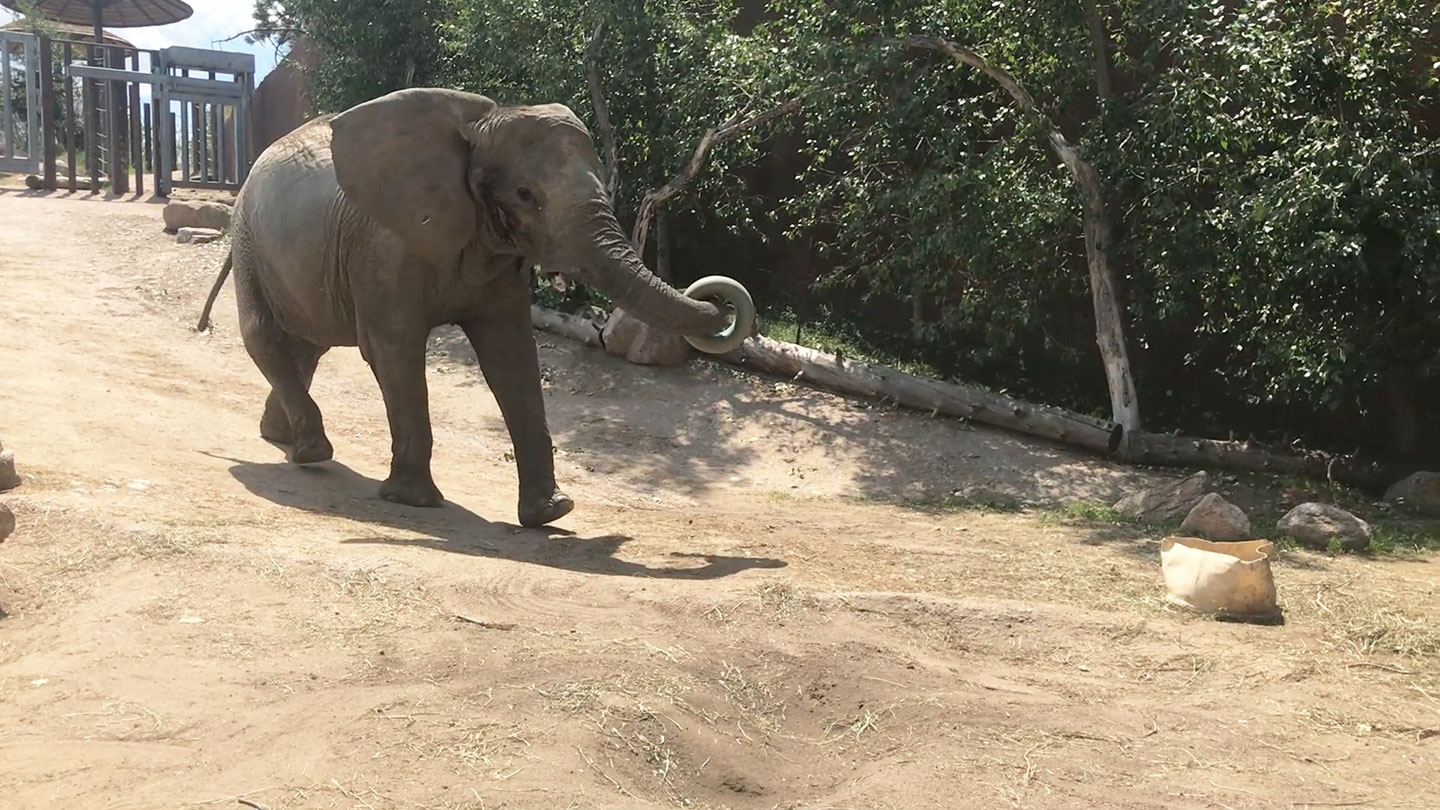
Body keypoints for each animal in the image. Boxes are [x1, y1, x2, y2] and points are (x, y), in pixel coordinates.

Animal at [198, 88, 760, 527]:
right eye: (525, 194)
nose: (717, 297)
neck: (480, 125)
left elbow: (511, 354)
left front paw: (551, 512)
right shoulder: (386, 245)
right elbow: (393, 348)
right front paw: (413, 502)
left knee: (307, 345)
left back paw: (280, 437)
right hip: (249, 239)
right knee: (265, 335)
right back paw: (311, 451)